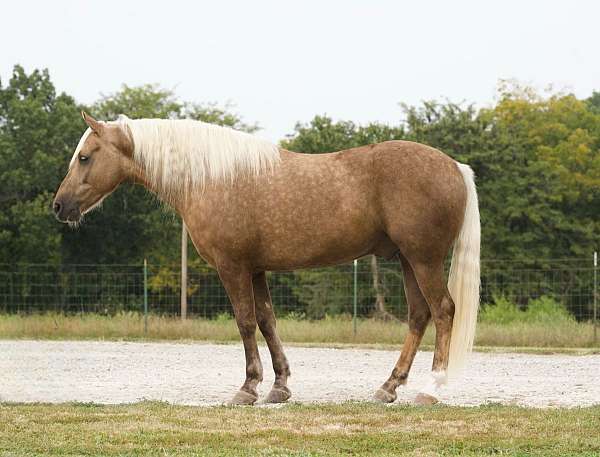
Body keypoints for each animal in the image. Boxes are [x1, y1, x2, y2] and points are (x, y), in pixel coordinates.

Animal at [54, 112, 480, 404]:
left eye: (85, 157)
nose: (59, 206)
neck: (213, 178)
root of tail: (455, 167)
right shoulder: (256, 269)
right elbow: (267, 321)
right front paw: (279, 386)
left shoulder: (233, 268)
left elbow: (244, 322)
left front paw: (247, 387)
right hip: (409, 260)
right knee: (419, 316)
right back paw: (388, 387)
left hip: (424, 260)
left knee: (443, 311)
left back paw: (431, 389)